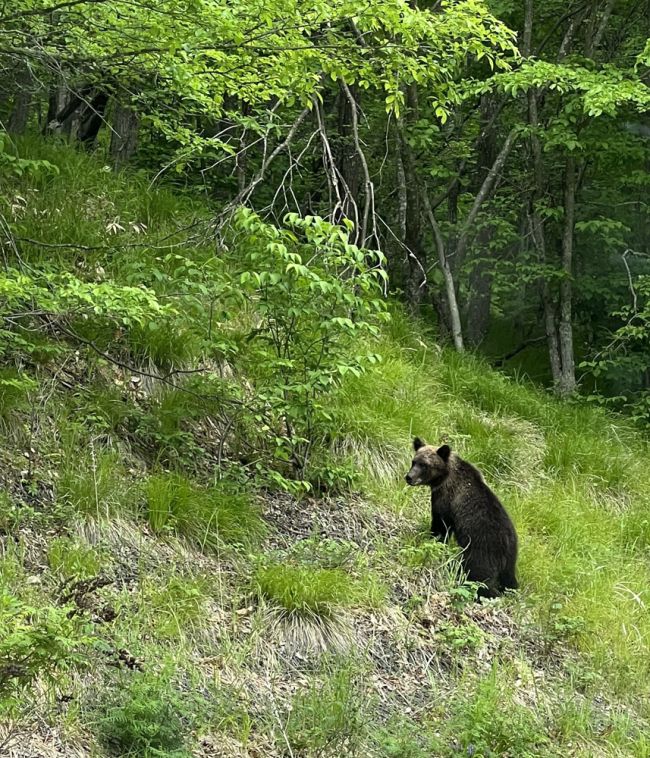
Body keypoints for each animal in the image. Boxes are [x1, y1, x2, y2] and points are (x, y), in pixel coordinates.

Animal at [404, 440, 516, 600]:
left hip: (481, 550)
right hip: (510, 560)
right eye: (414, 461)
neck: (444, 477)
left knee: (479, 578)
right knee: (509, 580)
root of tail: (507, 544)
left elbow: (440, 526)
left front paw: (431, 540)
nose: (409, 477)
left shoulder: (445, 501)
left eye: (424, 465)